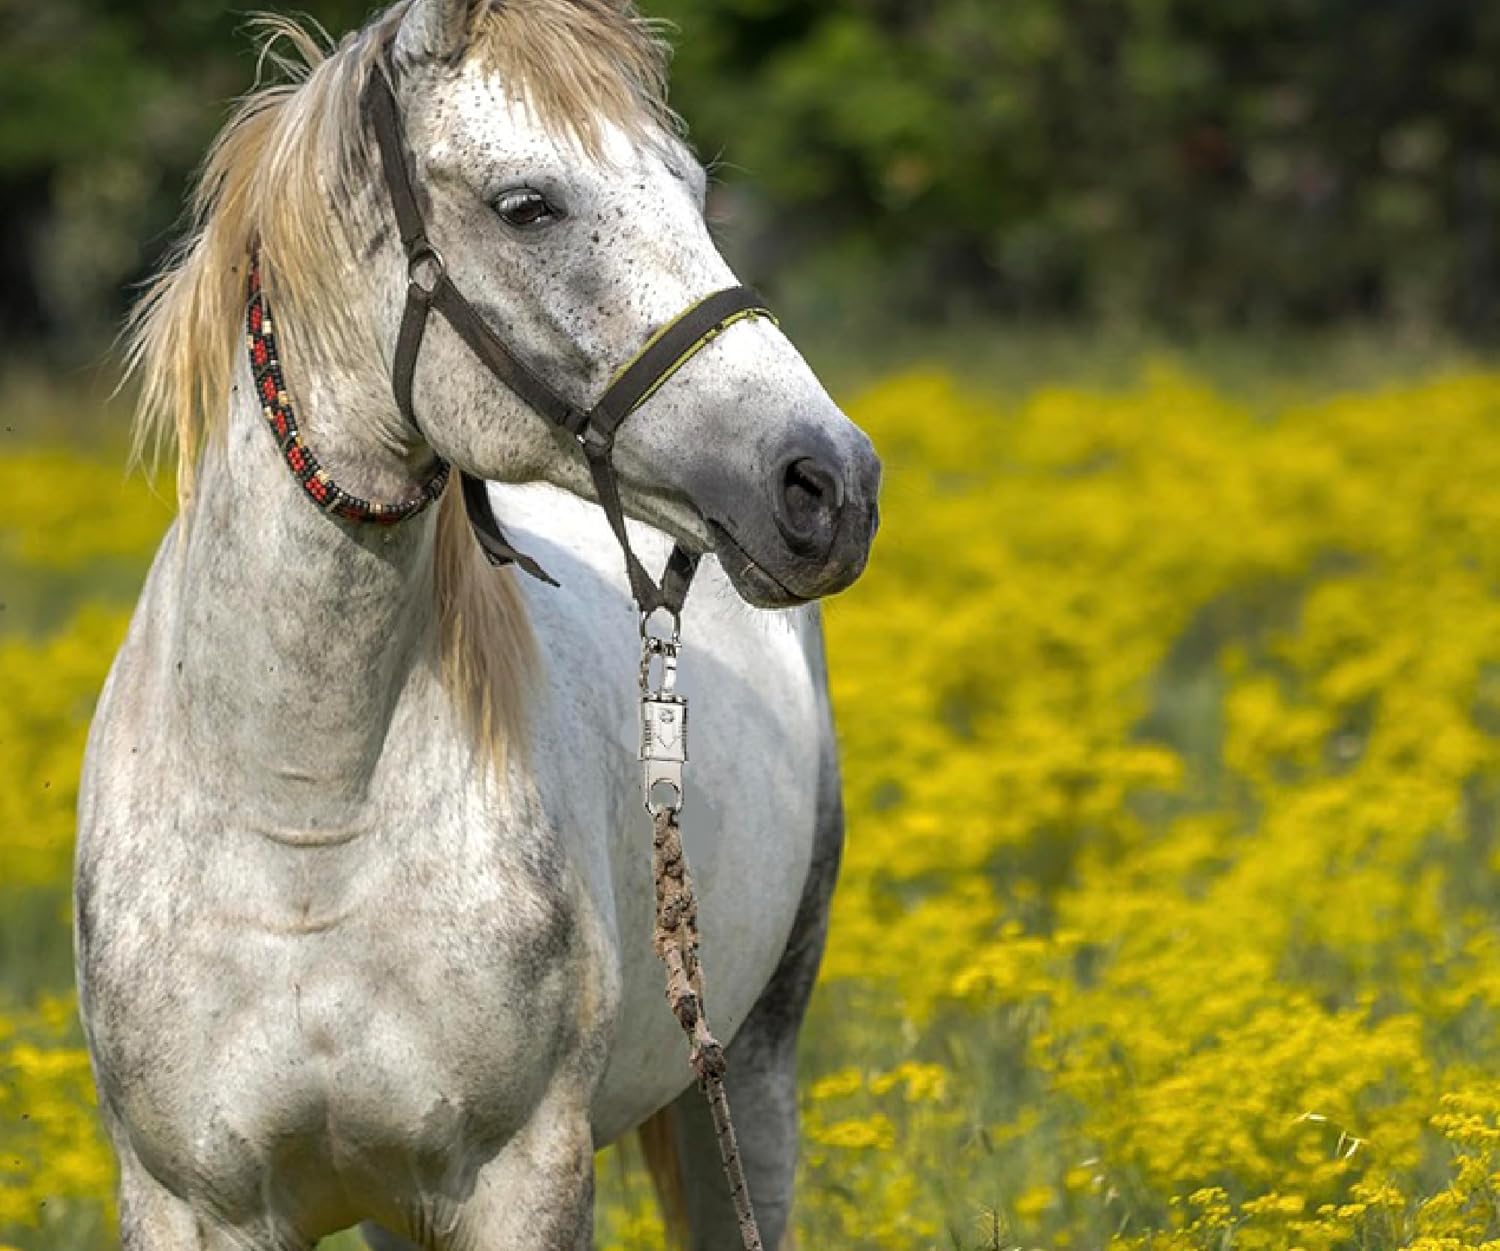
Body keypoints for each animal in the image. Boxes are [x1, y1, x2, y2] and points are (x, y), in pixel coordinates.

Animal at [75, 0, 879, 1247]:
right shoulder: (191, 1202)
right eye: (526, 205)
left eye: (694, 190)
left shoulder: (522, 1178)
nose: (830, 483)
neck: (302, 819)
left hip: (749, 1072)